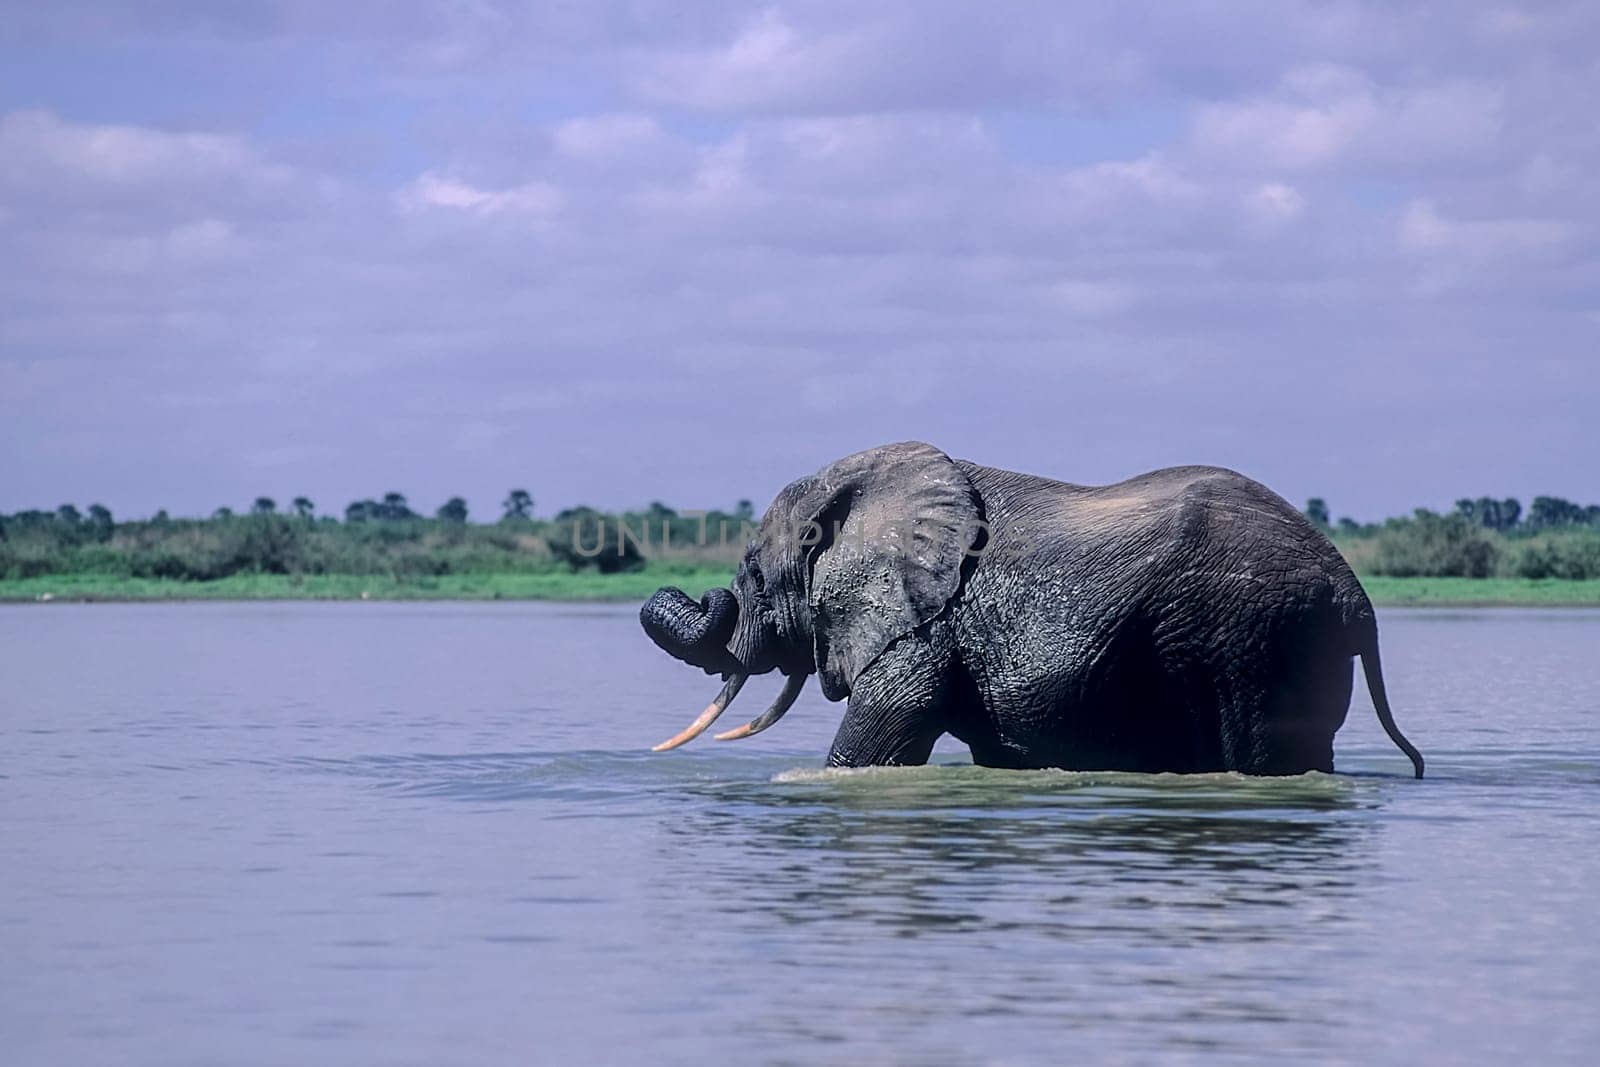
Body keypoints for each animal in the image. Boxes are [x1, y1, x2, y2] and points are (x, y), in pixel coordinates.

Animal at [636, 438, 1427, 780]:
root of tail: (1354, 591)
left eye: (752, 571)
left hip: (1253, 640)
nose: (704, 595)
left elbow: (879, 738)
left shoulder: (925, 630)